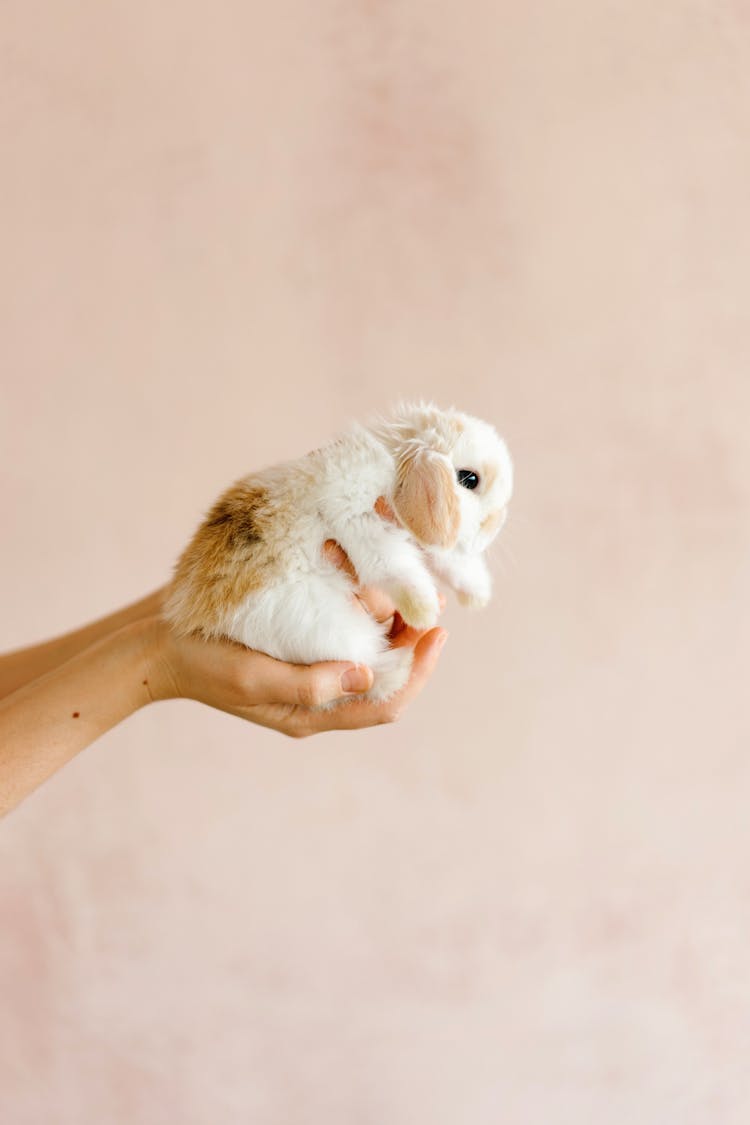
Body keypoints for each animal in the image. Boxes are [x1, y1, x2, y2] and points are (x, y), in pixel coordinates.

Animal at [164, 402, 512, 702]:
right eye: (469, 479)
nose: (496, 525)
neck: (393, 466)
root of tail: (193, 613)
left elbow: (451, 563)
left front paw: (478, 596)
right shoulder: (361, 523)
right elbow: (394, 567)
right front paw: (424, 611)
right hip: (320, 627)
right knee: (366, 658)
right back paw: (398, 669)